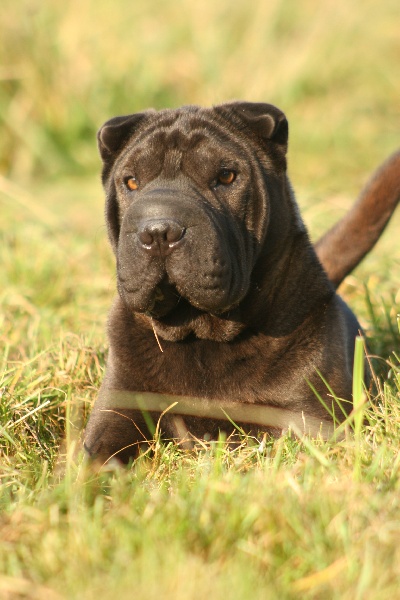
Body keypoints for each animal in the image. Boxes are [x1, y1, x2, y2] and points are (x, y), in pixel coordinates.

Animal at [83, 102, 398, 464]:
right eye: (132, 181)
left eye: (226, 176)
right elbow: (95, 463)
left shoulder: (307, 417)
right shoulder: (117, 413)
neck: (201, 333)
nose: (159, 231)